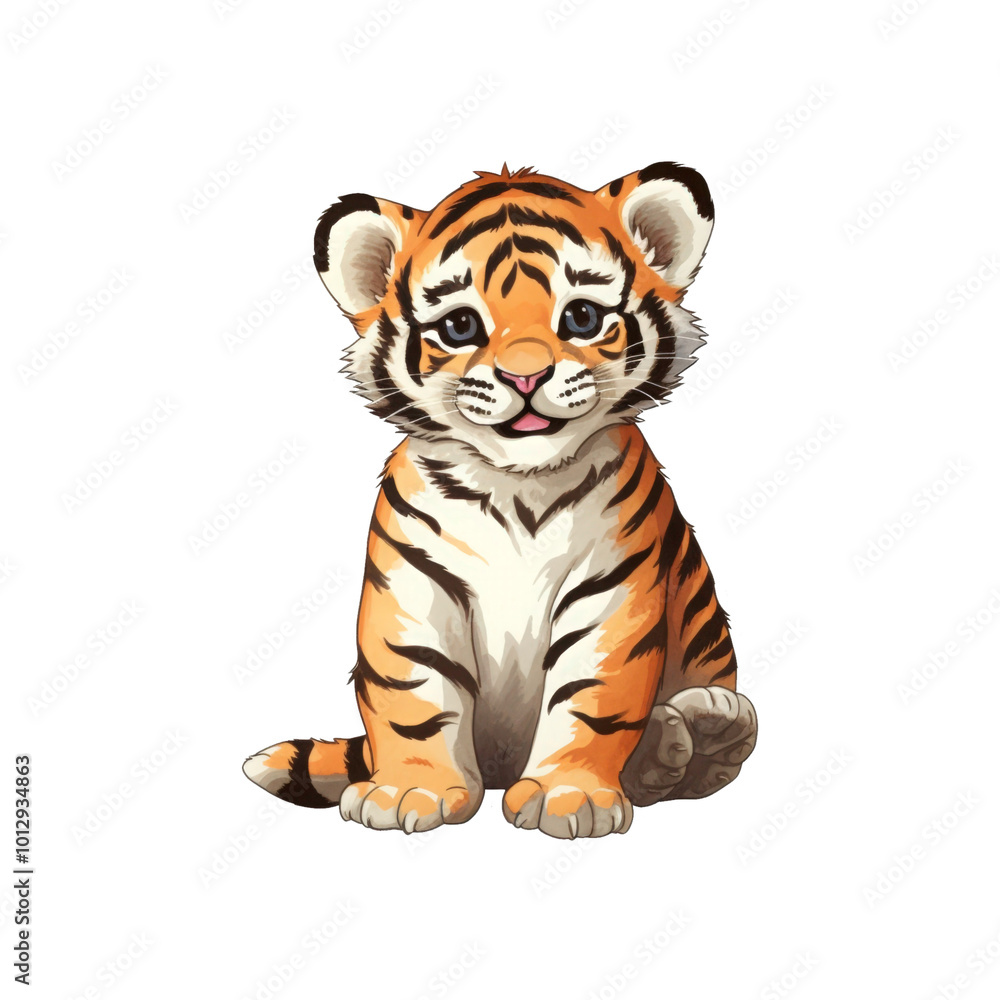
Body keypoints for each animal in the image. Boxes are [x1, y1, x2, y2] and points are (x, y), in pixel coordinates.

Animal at [243, 162, 757, 839]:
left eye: (582, 317)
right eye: (460, 326)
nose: (525, 376)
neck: (519, 485)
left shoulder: (609, 591)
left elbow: (590, 696)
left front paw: (568, 797)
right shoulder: (415, 589)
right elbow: (413, 695)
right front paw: (409, 791)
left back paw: (701, 729)